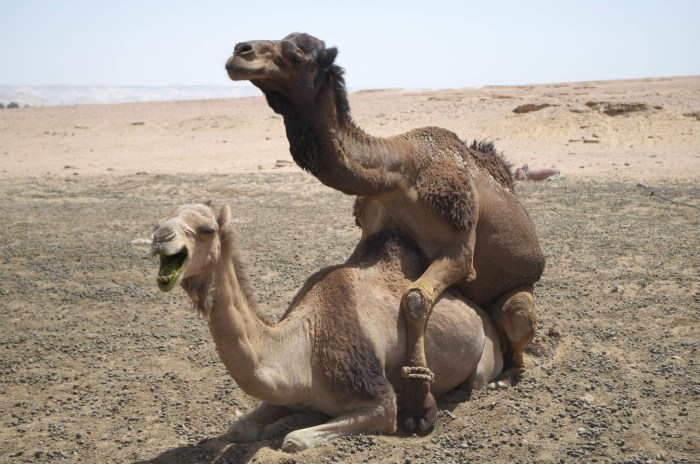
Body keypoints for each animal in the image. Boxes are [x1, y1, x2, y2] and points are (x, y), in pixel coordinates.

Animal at [151, 203, 503, 451]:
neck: (304, 350)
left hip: (487, 354)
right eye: (164, 217)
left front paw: (288, 427)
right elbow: (238, 428)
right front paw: (281, 422)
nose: (159, 237)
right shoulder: (284, 390)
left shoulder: (380, 401)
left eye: (206, 229)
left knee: (476, 382)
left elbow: (295, 441)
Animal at [225, 32, 545, 431]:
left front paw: (420, 404)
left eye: (296, 55)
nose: (239, 52)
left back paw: (508, 375)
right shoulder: (371, 232)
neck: (398, 172)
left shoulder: (459, 246)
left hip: (520, 294)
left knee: (517, 324)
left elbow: (416, 299)